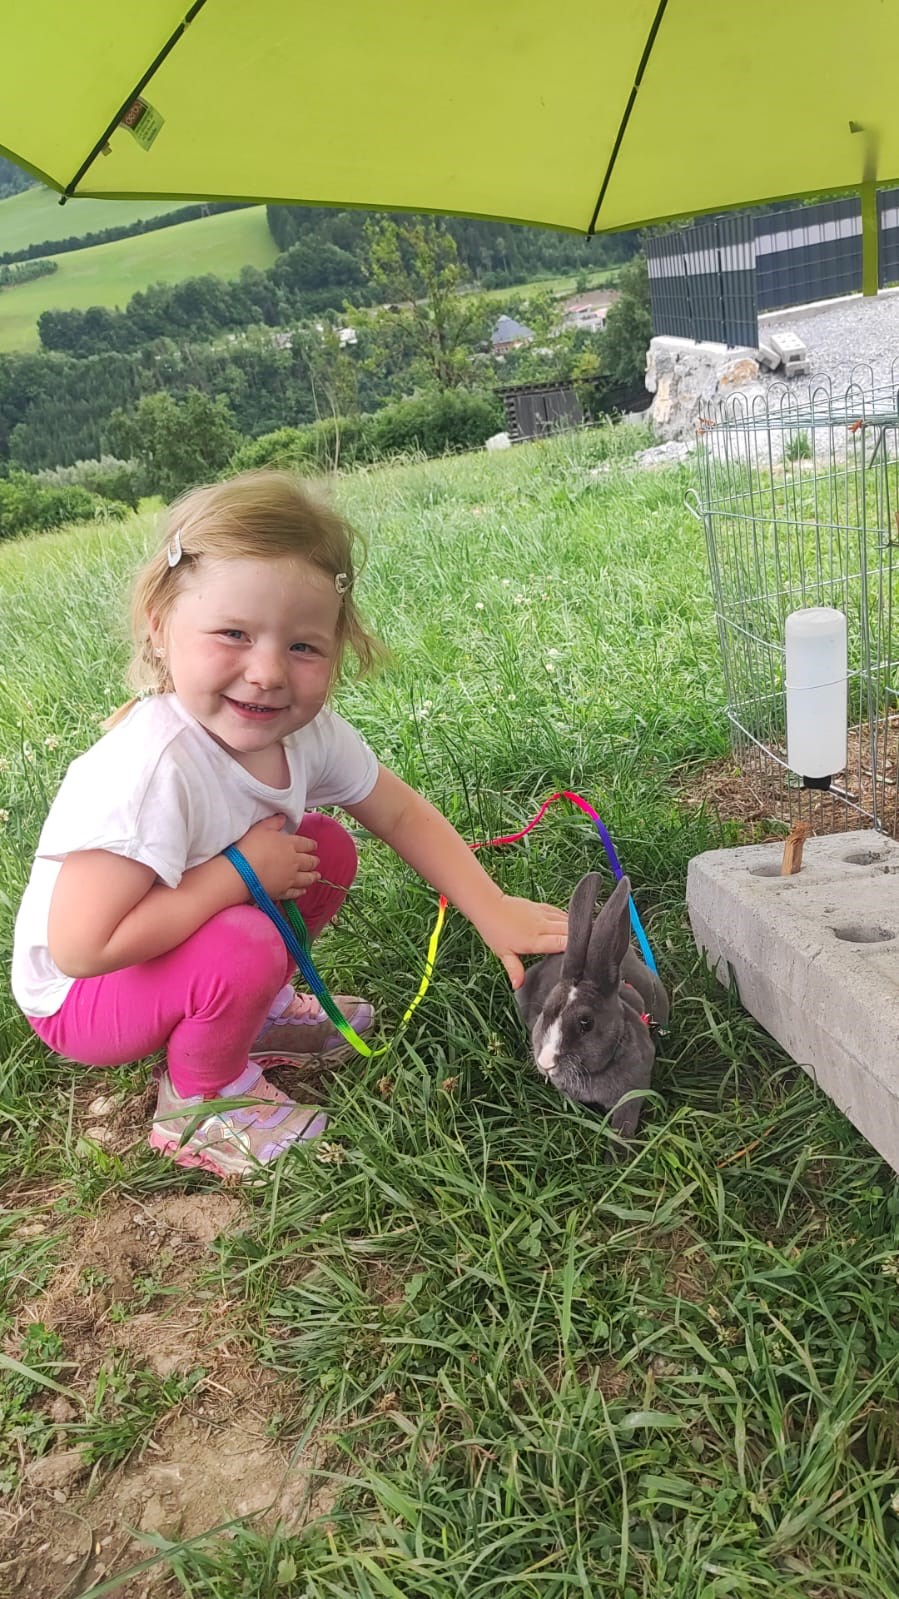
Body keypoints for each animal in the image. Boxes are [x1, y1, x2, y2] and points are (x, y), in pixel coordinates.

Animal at [516, 872, 669, 1139]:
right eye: (545, 1011)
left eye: (586, 1023)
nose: (546, 1063)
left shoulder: (631, 1097)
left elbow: (623, 1128)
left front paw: (620, 1151)